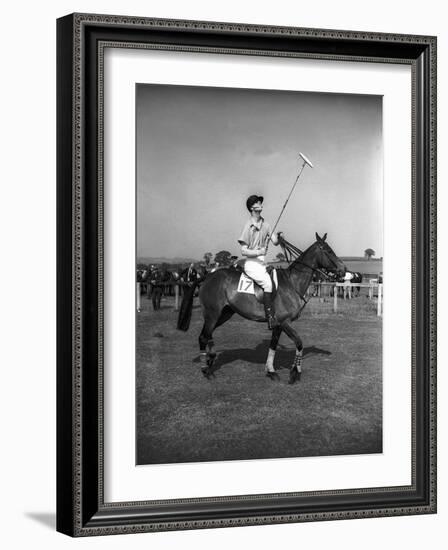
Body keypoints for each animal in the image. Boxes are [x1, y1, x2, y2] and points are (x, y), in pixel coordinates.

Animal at [177, 235, 344, 386]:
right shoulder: (284, 322)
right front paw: (294, 373)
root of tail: (207, 277)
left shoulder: (277, 325)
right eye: (329, 251)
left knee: (208, 334)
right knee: (203, 337)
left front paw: (271, 371)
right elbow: (299, 343)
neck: (292, 283)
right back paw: (206, 370)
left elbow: (273, 346)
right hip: (212, 314)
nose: (343, 270)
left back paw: (210, 358)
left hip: (225, 313)